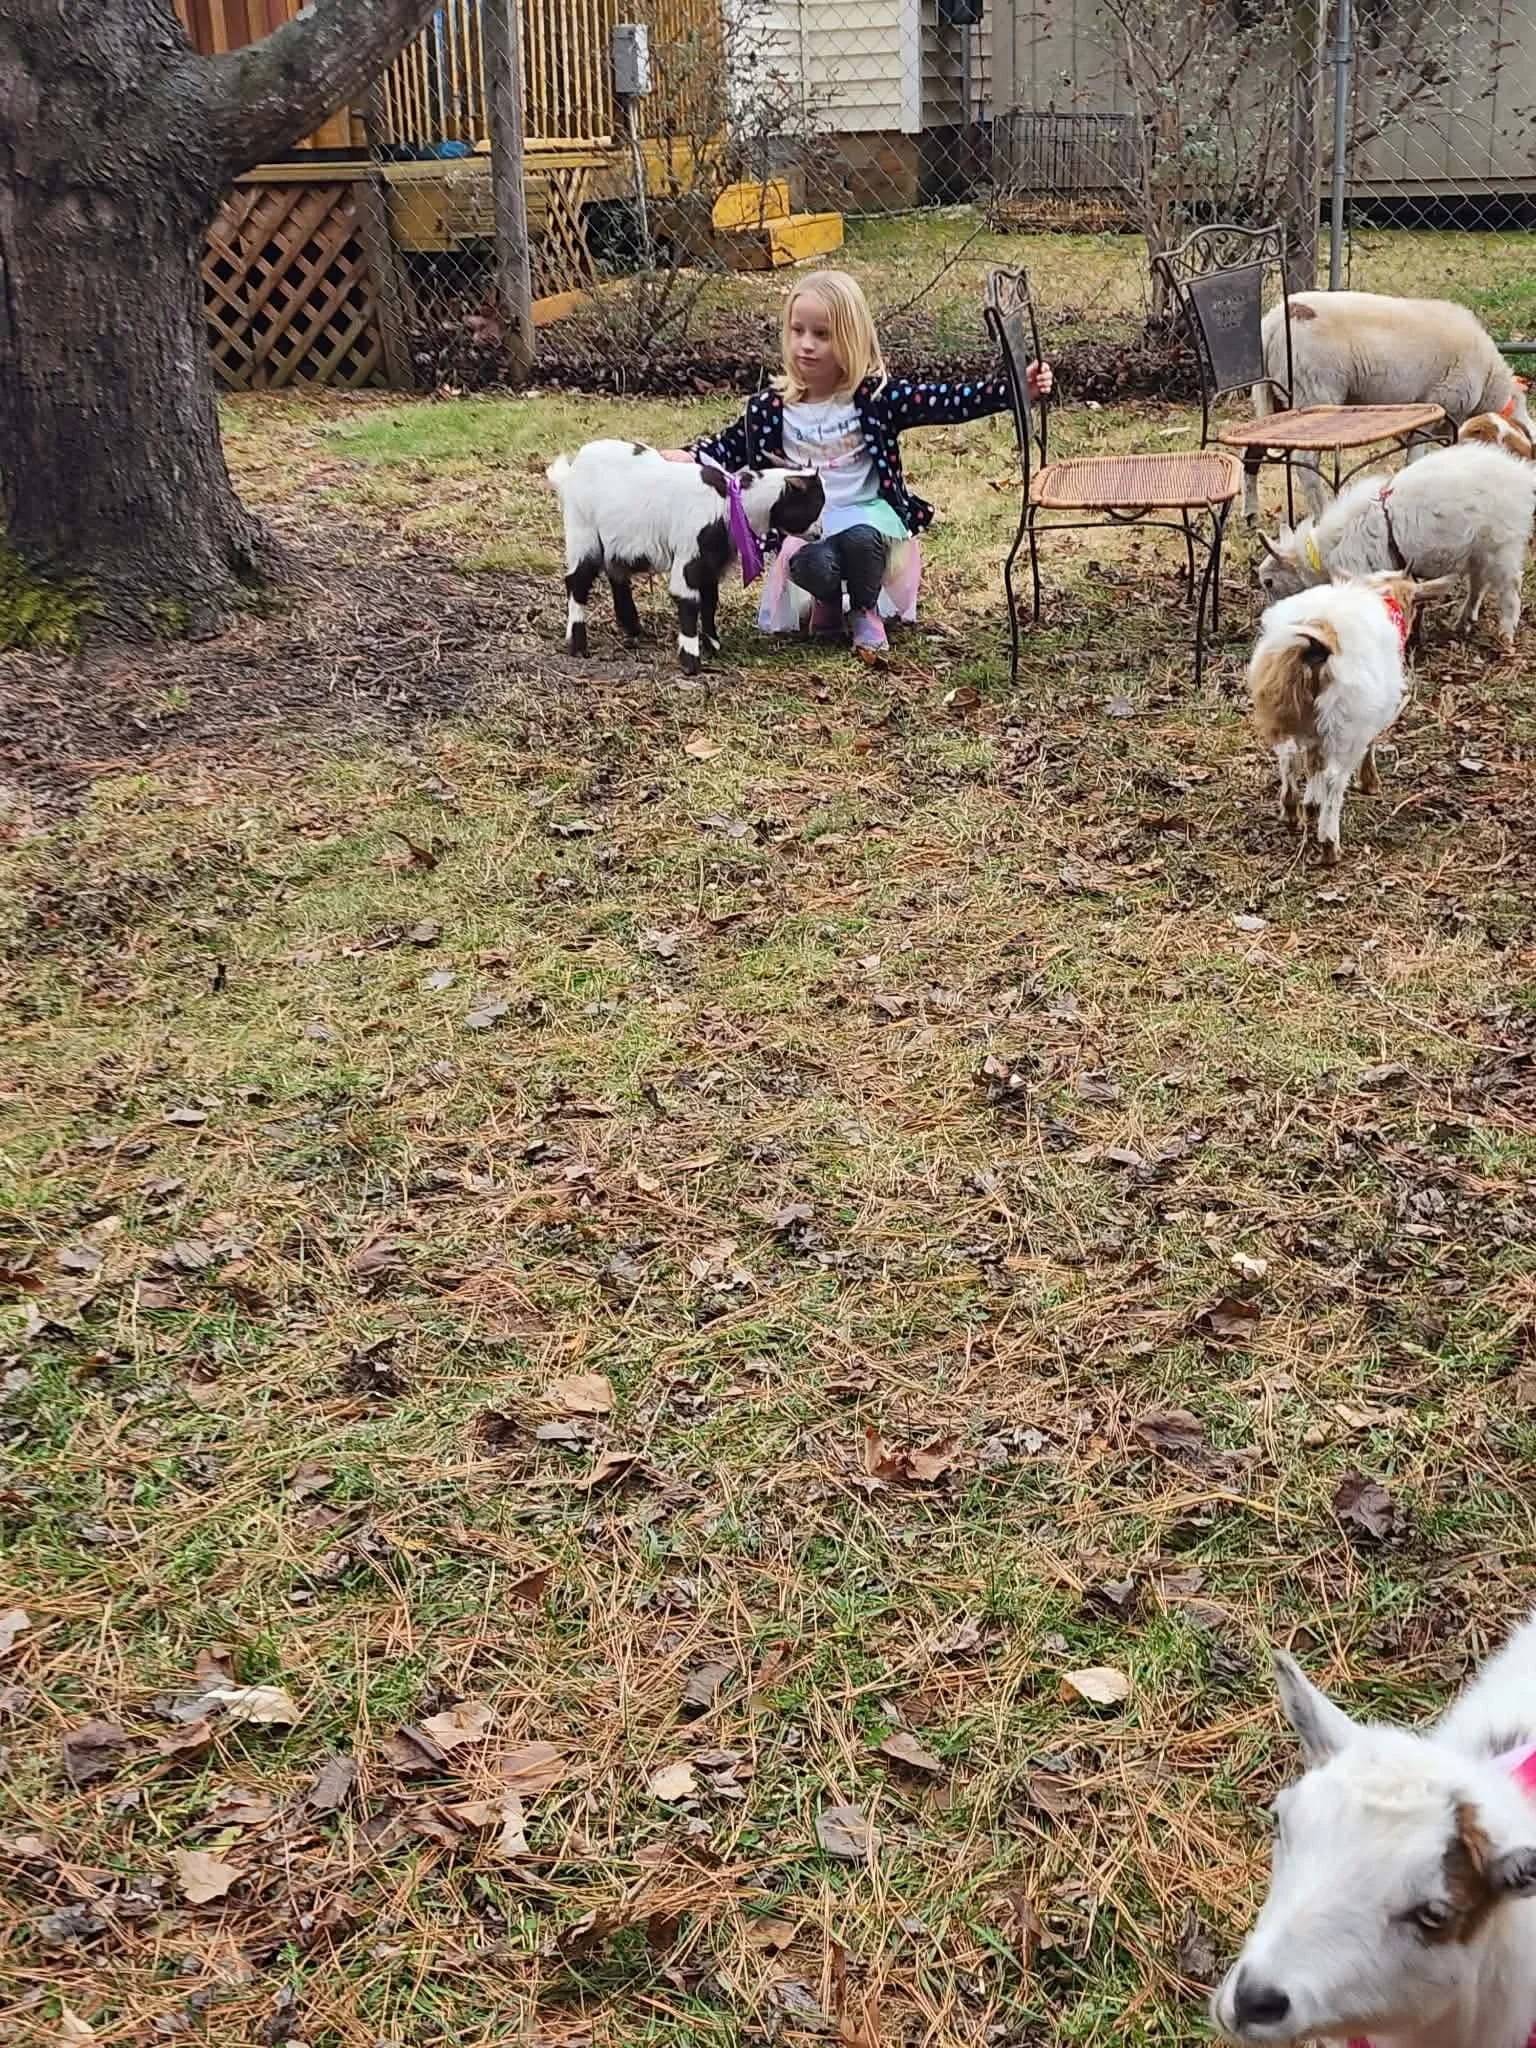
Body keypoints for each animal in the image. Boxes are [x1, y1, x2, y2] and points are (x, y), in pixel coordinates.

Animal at [546, 440, 823, 675]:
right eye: (813, 505)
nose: (819, 533)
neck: (729, 503)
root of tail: (573, 469)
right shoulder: (690, 556)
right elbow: (689, 601)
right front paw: (691, 660)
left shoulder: (711, 563)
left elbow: (710, 602)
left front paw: (713, 644)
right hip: (583, 531)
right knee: (577, 581)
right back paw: (578, 643)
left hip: (616, 540)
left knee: (615, 574)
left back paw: (633, 628)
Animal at [1248, 570, 1455, 862]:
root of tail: (1320, 638)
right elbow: (1369, 747)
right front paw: (1370, 783)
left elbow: (1313, 763)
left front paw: (1311, 804)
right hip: (1345, 723)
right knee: (1334, 778)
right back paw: (1329, 845)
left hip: (1285, 710)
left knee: (1290, 758)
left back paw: (1291, 811)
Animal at [1255, 292, 1533, 516]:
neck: (1490, 383)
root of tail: (1274, 321)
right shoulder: (1439, 407)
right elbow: (1417, 457)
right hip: (1315, 393)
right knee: (1306, 463)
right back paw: (1321, 511)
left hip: (1278, 399)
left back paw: (1252, 514)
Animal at [1257, 441, 1536, 651]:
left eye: (1269, 582)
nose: (1268, 620)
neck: (1325, 552)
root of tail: (1523, 477)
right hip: (1478, 551)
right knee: (1478, 583)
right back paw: (1463, 622)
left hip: (1502, 547)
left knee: (1510, 590)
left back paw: (1505, 635)